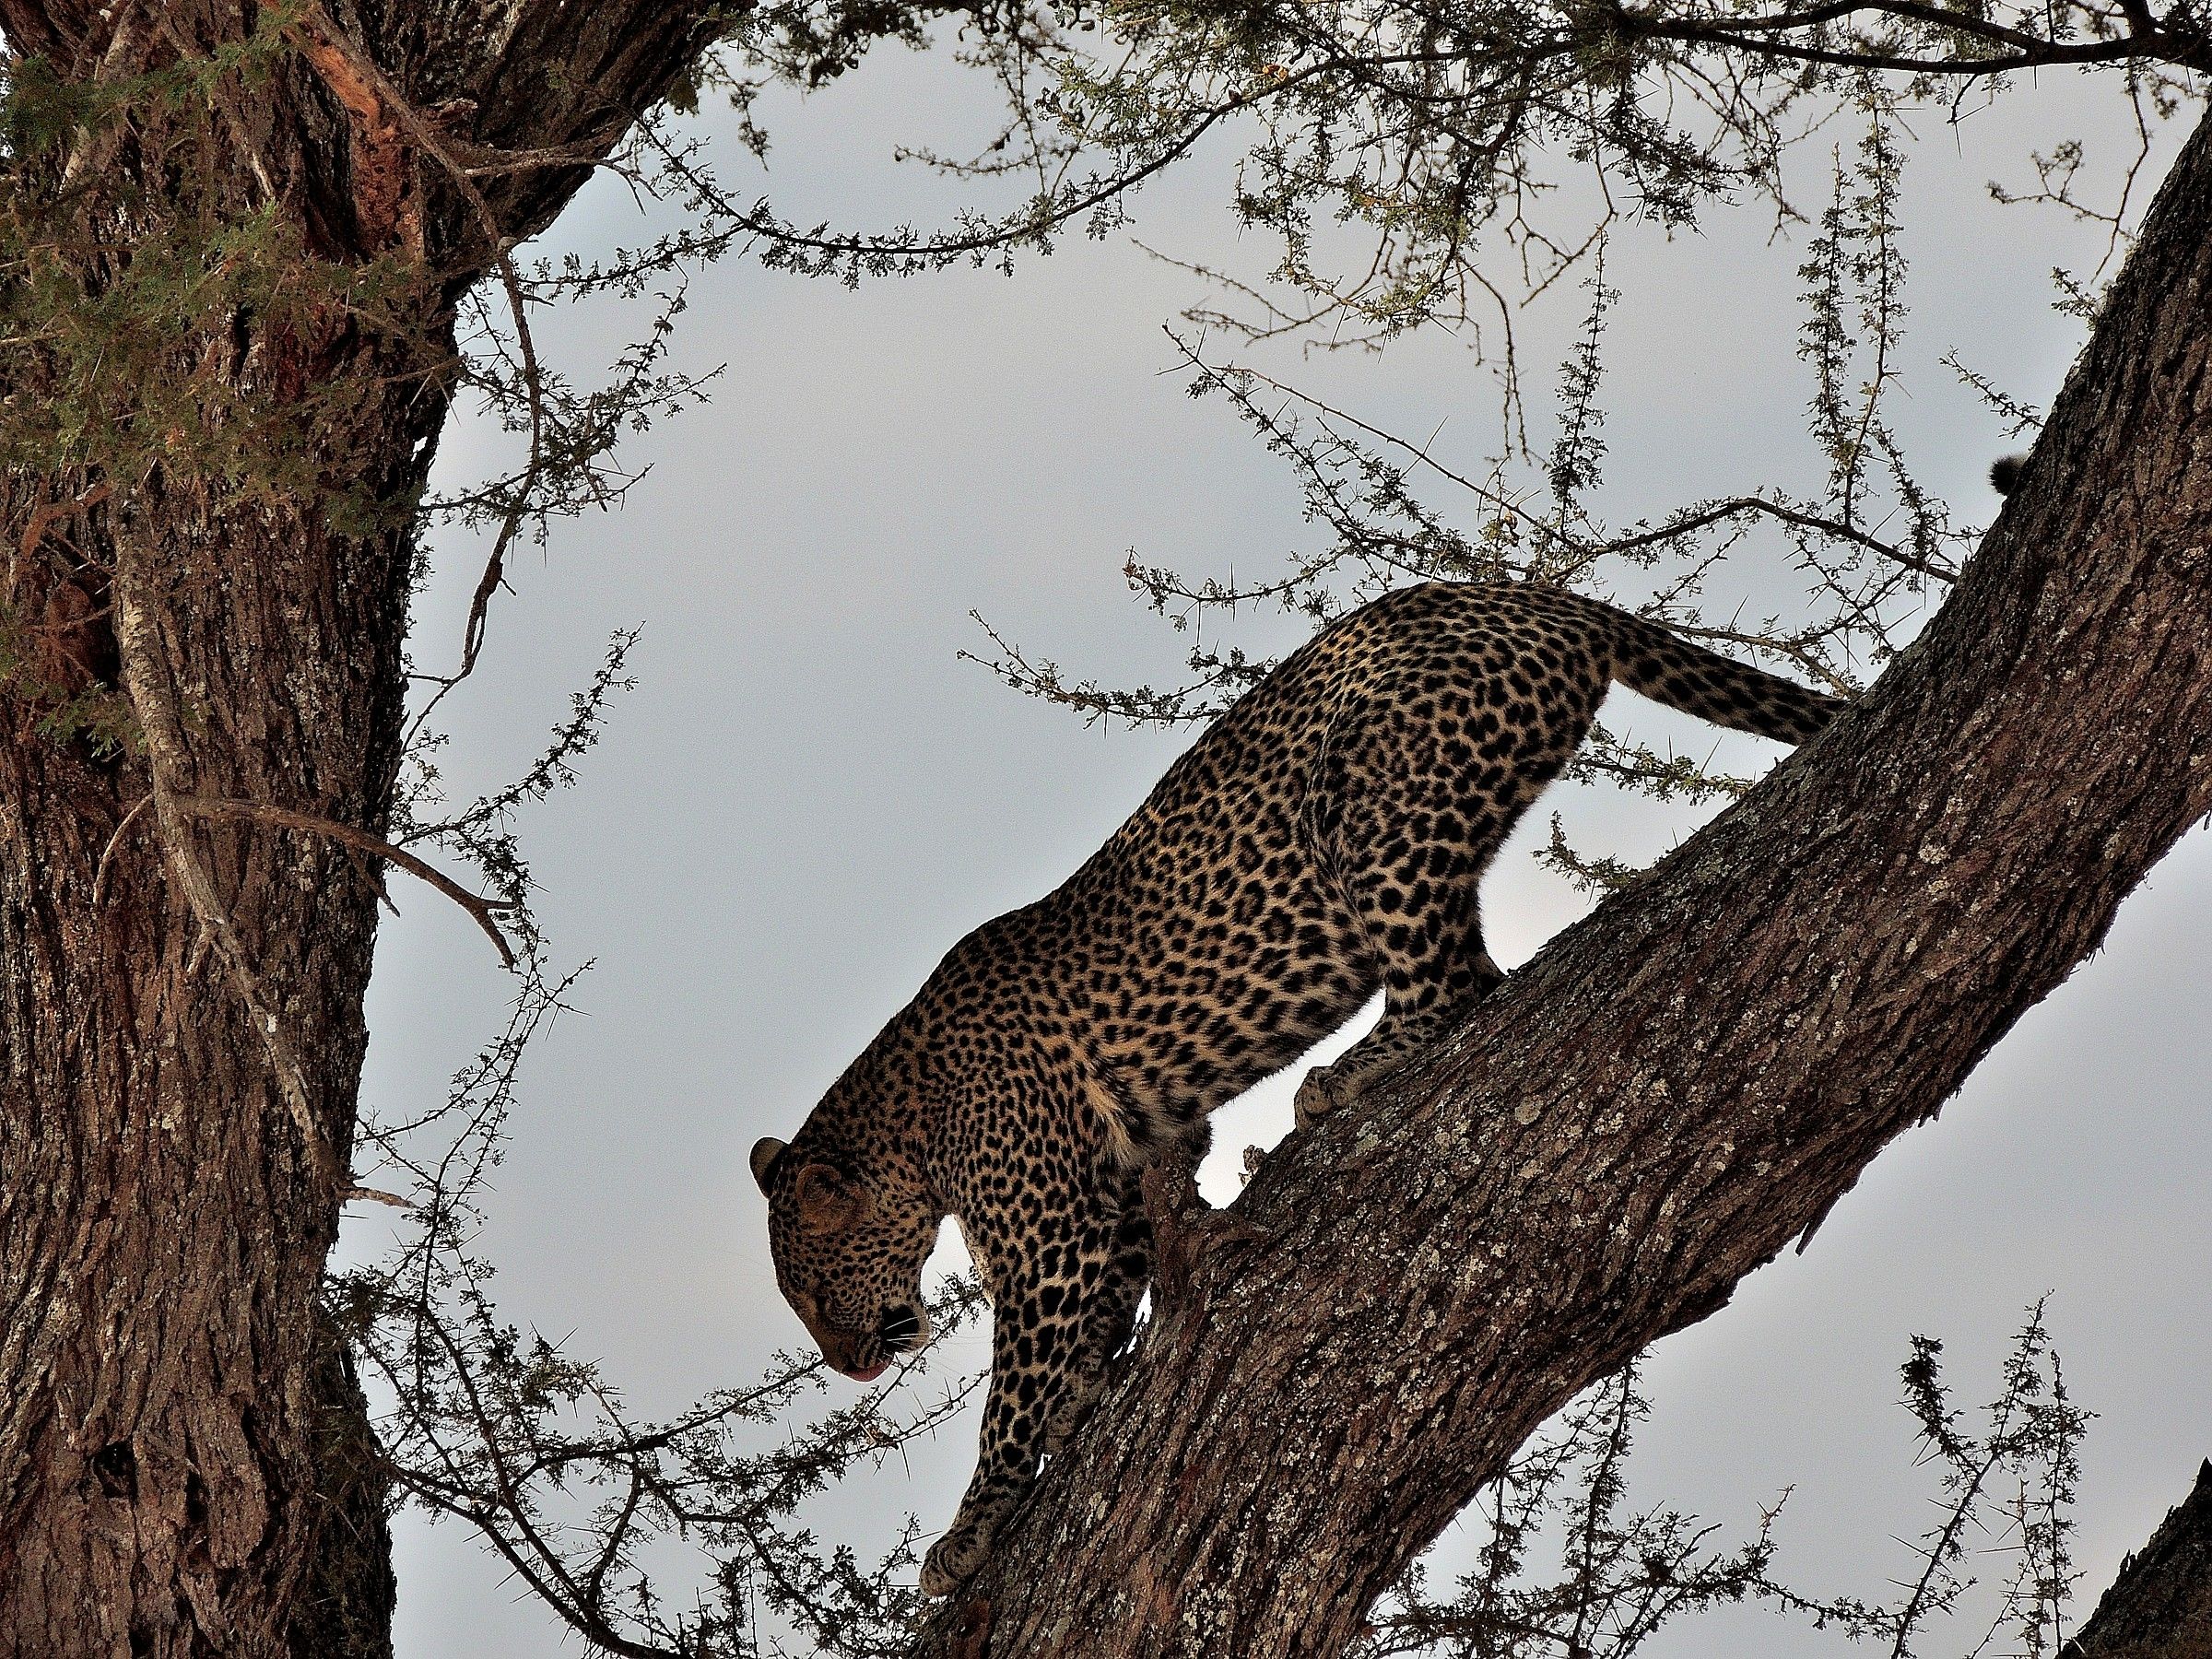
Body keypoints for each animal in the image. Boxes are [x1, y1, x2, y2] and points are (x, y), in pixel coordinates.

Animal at [748, 580, 1844, 1597]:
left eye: (814, 1293)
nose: (848, 1365)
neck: (905, 1129)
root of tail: (1522, 591)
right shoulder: (1119, 1186)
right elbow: (1106, 1311)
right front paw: (1081, 1403)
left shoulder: (1048, 1238)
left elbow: (1008, 1402)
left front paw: (968, 1535)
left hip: (1375, 805)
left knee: (1457, 982)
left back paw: (1342, 1078)